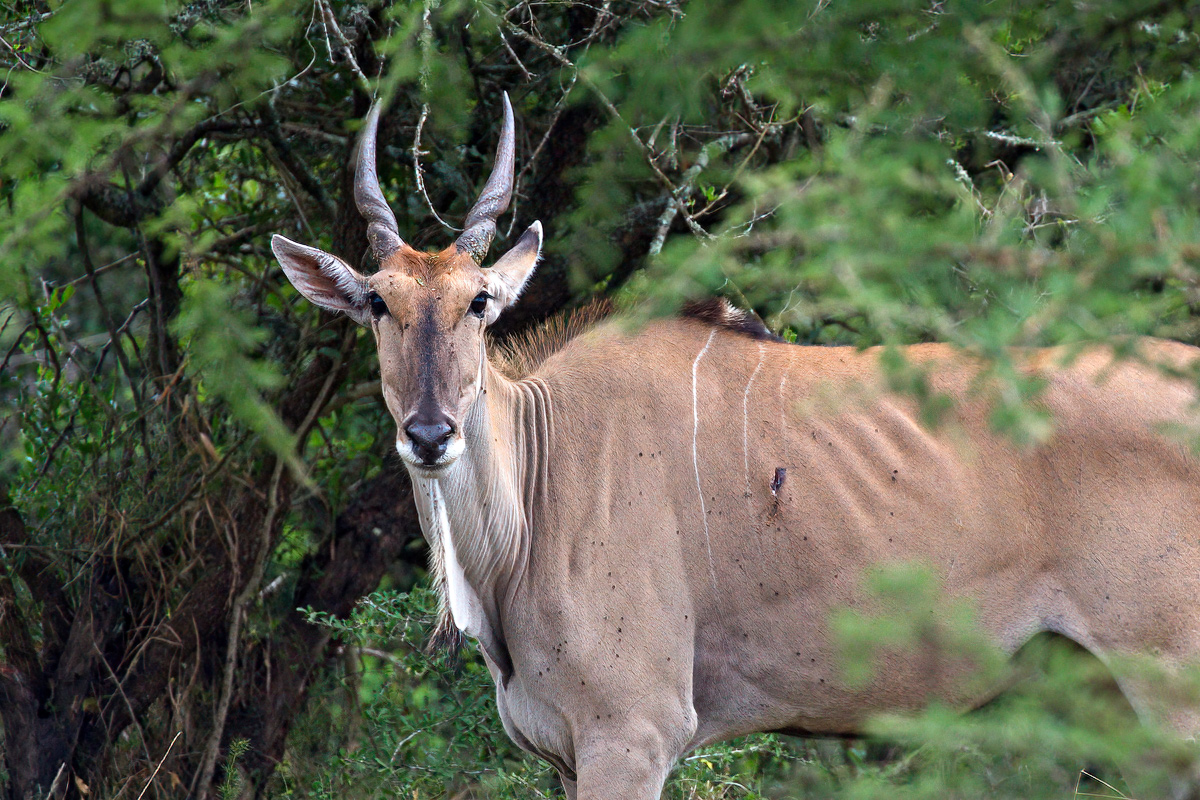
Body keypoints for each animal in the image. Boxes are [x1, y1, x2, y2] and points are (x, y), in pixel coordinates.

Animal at [272, 97, 1200, 796]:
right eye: (379, 303)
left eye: (479, 302)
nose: (430, 435)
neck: (538, 486)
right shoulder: (572, 755)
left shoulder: (631, 736)